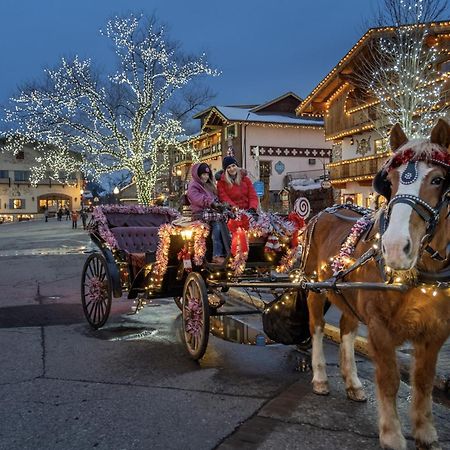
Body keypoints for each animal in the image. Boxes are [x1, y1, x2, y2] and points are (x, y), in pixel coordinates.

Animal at [302, 119, 450, 450]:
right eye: (391, 181)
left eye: (438, 180)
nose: (394, 248)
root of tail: (323, 211)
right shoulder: (380, 327)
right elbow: (390, 379)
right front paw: (392, 434)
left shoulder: (435, 330)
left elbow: (423, 380)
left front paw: (425, 432)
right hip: (315, 287)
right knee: (316, 327)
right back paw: (319, 378)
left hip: (347, 294)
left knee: (346, 328)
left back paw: (353, 382)